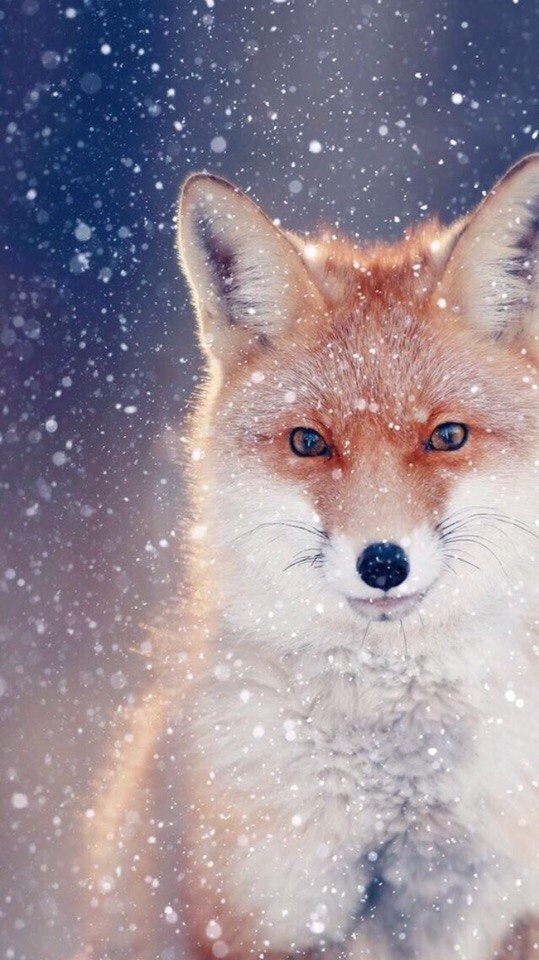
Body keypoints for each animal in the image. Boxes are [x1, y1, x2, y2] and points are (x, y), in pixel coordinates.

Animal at [79, 155, 539, 960]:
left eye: (447, 436)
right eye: (308, 442)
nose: (382, 563)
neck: (394, 784)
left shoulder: (481, 905)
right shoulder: (262, 910)